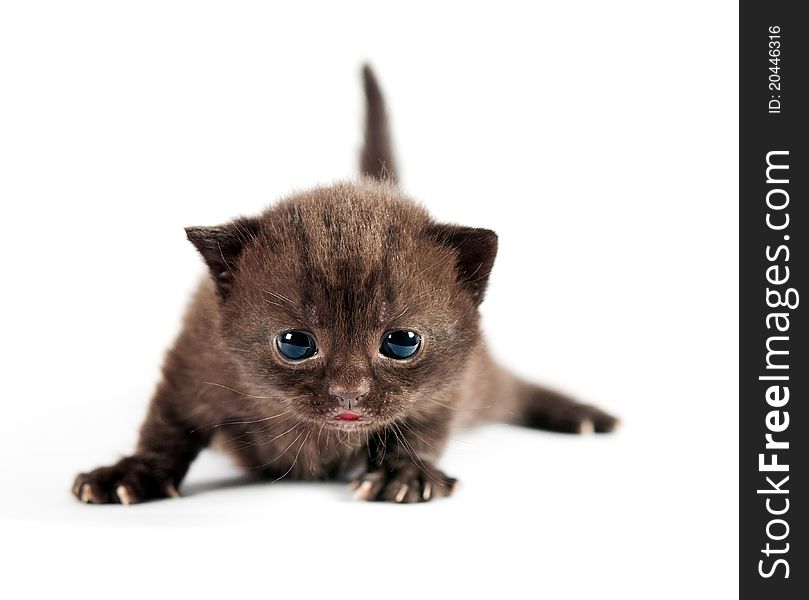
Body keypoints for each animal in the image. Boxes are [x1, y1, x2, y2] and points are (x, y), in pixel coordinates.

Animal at [72, 65, 616, 504]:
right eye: (294, 343)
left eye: (402, 342)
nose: (348, 395)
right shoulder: (193, 358)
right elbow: (166, 427)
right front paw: (131, 473)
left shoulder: (453, 383)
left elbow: (423, 426)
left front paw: (403, 473)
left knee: (518, 389)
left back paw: (583, 415)